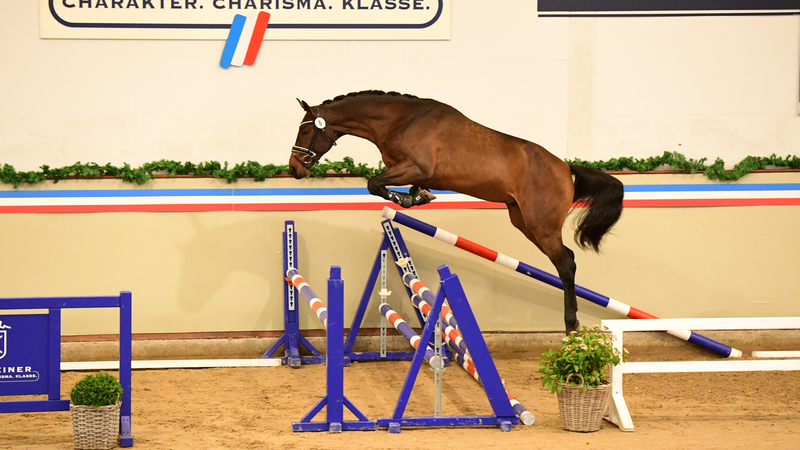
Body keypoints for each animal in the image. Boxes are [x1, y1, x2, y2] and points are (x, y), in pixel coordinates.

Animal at [289, 90, 624, 334]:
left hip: (541, 224)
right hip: (523, 221)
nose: (293, 169)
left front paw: (406, 200)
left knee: (566, 264)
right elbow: (395, 186)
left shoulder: (416, 167)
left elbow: (375, 183)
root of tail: (565, 168)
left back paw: (571, 325)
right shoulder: (413, 172)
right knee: (567, 259)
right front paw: (417, 197)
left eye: (304, 133)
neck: (400, 121)